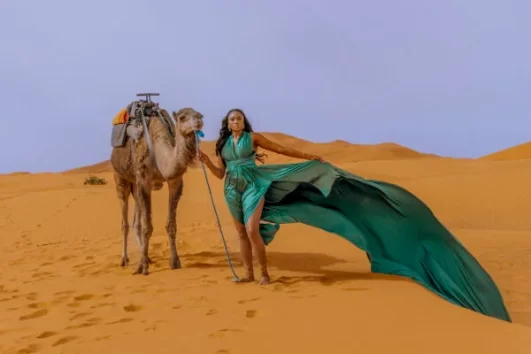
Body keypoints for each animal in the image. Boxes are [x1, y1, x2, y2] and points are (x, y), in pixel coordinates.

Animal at [110, 103, 204, 276]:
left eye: (200, 114)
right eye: (182, 118)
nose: (198, 120)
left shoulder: (175, 181)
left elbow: (171, 225)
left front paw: (175, 261)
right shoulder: (144, 180)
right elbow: (147, 227)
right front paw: (143, 268)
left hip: (135, 185)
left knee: (136, 221)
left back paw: (146, 257)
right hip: (120, 177)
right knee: (125, 222)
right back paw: (125, 260)